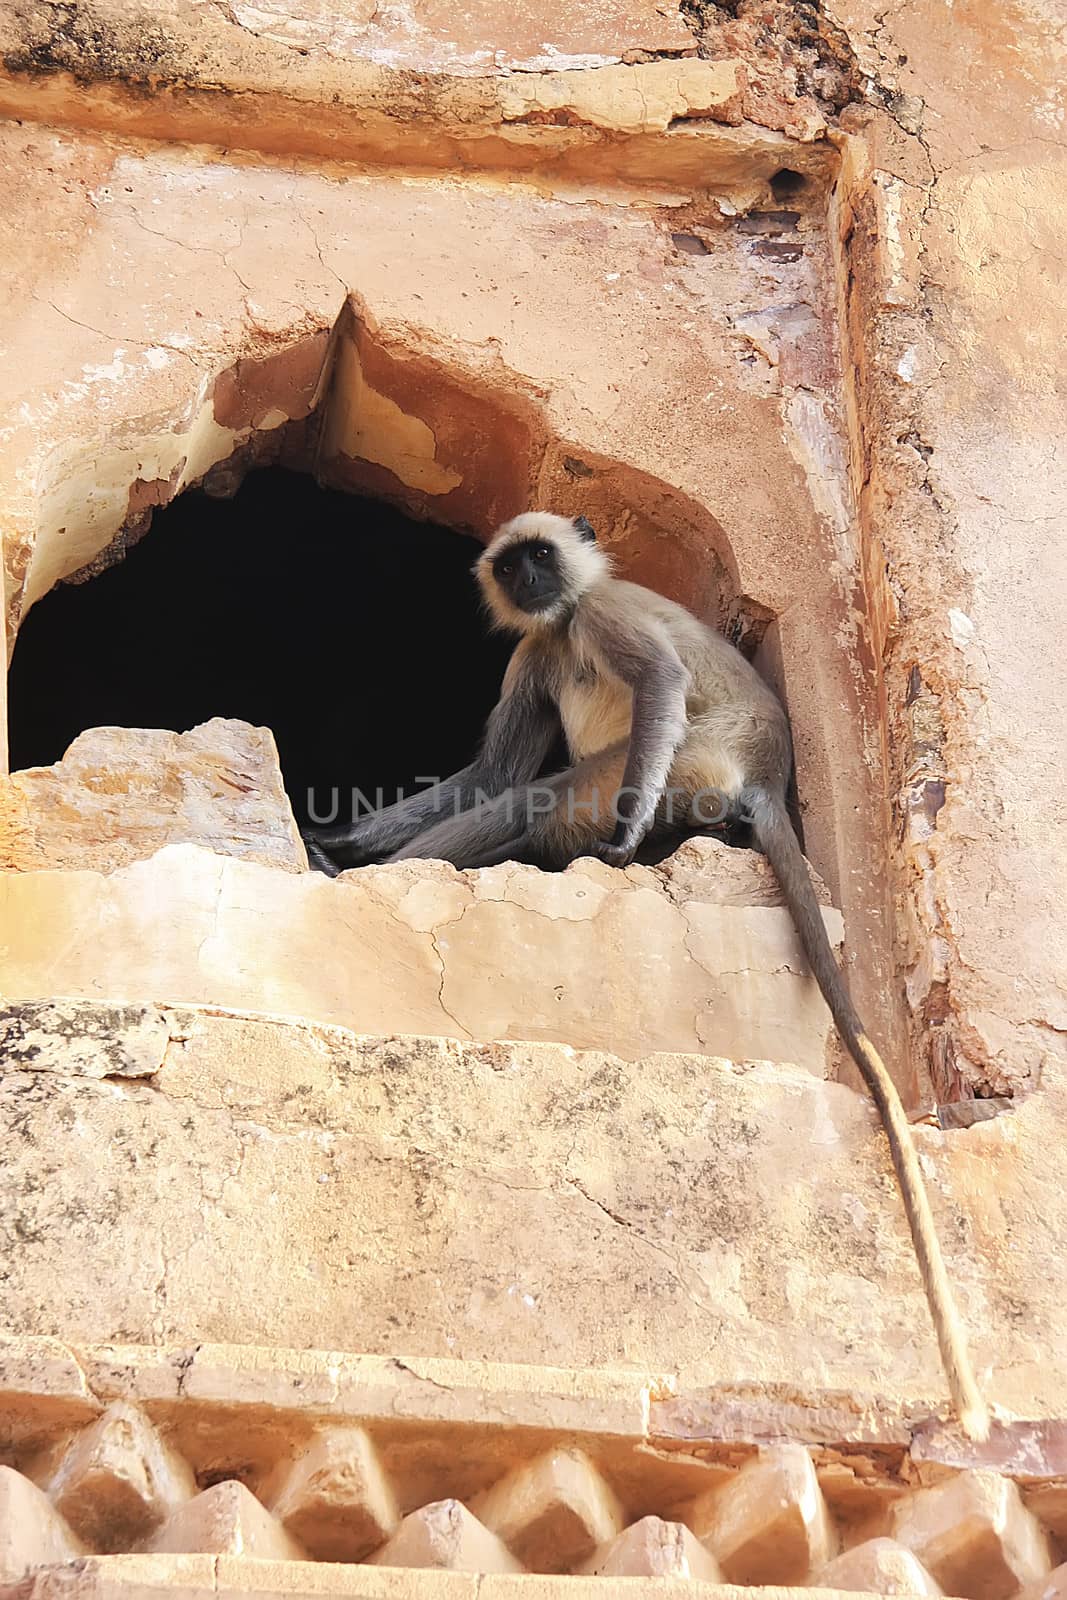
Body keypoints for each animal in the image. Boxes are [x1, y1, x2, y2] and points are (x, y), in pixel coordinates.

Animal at [308, 508, 991, 1440]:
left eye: (542, 555)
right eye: (511, 565)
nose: (531, 581)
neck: (565, 620)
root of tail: (768, 778)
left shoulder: (603, 613)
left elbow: (656, 679)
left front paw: (626, 837)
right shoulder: (538, 646)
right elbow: (489, 772)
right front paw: (341, 839)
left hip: (689, 762)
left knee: (552, 795)